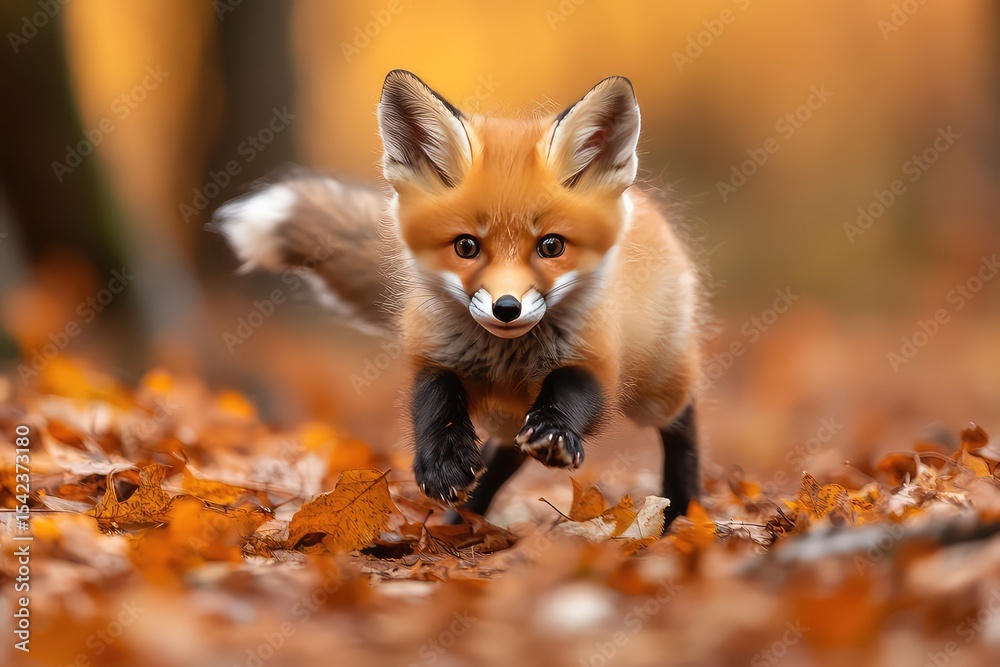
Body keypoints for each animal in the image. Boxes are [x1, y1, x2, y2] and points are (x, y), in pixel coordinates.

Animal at [216, 70, 704, 526]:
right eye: (466, 246)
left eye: (551, 246)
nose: (506, 308)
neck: (506, 358)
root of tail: (643, 204)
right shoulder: (435, 352)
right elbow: (436, 401)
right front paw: (445, 464)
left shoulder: (597, 360)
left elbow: (569, 394)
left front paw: (556, 432)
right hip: (512, 417)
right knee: (504, 456)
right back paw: (464, 517)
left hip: (656, 385)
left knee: (680, 419)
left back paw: (682, 508)